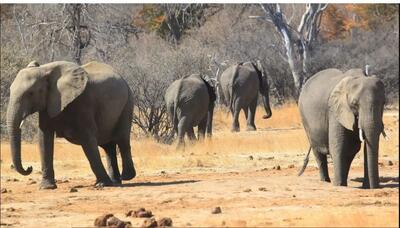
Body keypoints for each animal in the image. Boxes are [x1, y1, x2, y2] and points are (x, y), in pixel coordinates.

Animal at [6, 60, 136, 189]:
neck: (44, 69)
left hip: (127, 103)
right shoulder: (48, 103)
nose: (29, 168)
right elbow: (44, 138)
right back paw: (115, 181)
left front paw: (102, 184)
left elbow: (88, 139)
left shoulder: (82, 102)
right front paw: (47, 187)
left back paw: (126, 177)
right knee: (108, 146)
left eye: (31, 93)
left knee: (122, 139)